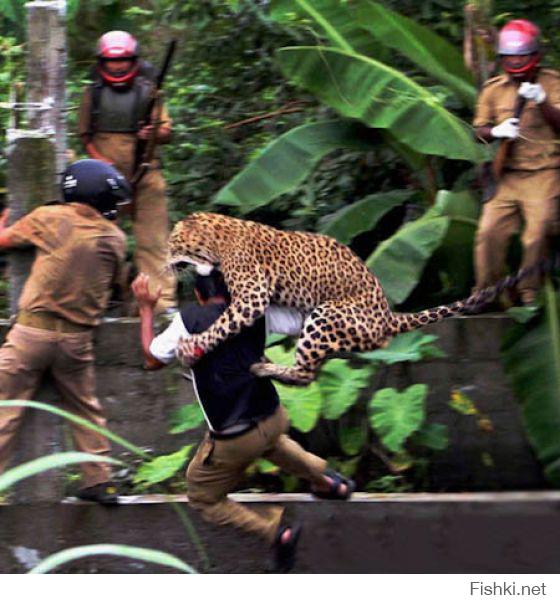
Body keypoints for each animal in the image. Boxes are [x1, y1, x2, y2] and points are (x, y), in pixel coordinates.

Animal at [170, 210, 532, 384]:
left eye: (173, 244)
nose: (166, 262)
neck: (217, 239)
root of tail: (387, 316)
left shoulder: (252, 295)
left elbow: (222, 323)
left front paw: (191, 346)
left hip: (327, 314)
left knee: (306, 374)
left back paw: (265, 368)